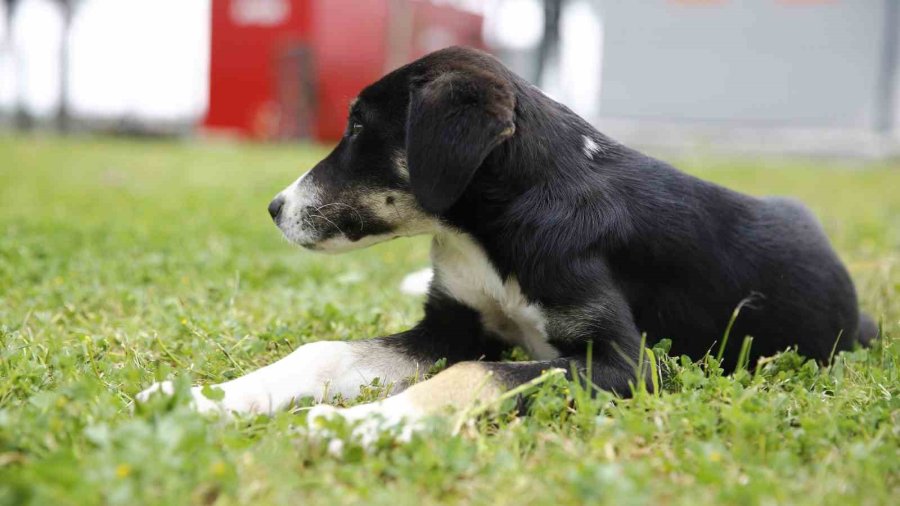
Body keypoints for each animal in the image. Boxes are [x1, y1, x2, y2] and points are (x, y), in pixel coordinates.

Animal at [137, 46, 876, 426]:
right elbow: (324, 352)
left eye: (358, 127)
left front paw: (365, 423)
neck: (492, 232)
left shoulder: (630, 364)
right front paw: (204, 399)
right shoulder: (449, 325)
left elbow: (478, 374)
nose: (275, 207)